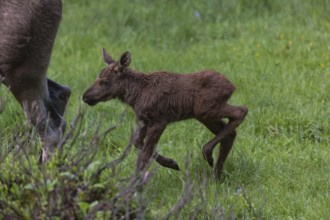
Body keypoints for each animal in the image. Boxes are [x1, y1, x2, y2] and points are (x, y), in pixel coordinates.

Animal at [83, 48, 248, 179]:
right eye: (97, 77)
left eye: (104, 81)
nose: (85, 97)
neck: (135, 96)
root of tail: (232, 86)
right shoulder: (144, 120)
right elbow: (138, 143)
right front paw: (172, 163)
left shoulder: (159, 120)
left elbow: (144, 155)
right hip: (203, 115)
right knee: (231, 132)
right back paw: (216, 175)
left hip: (205, 109)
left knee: (241, 110)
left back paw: (208, 153)